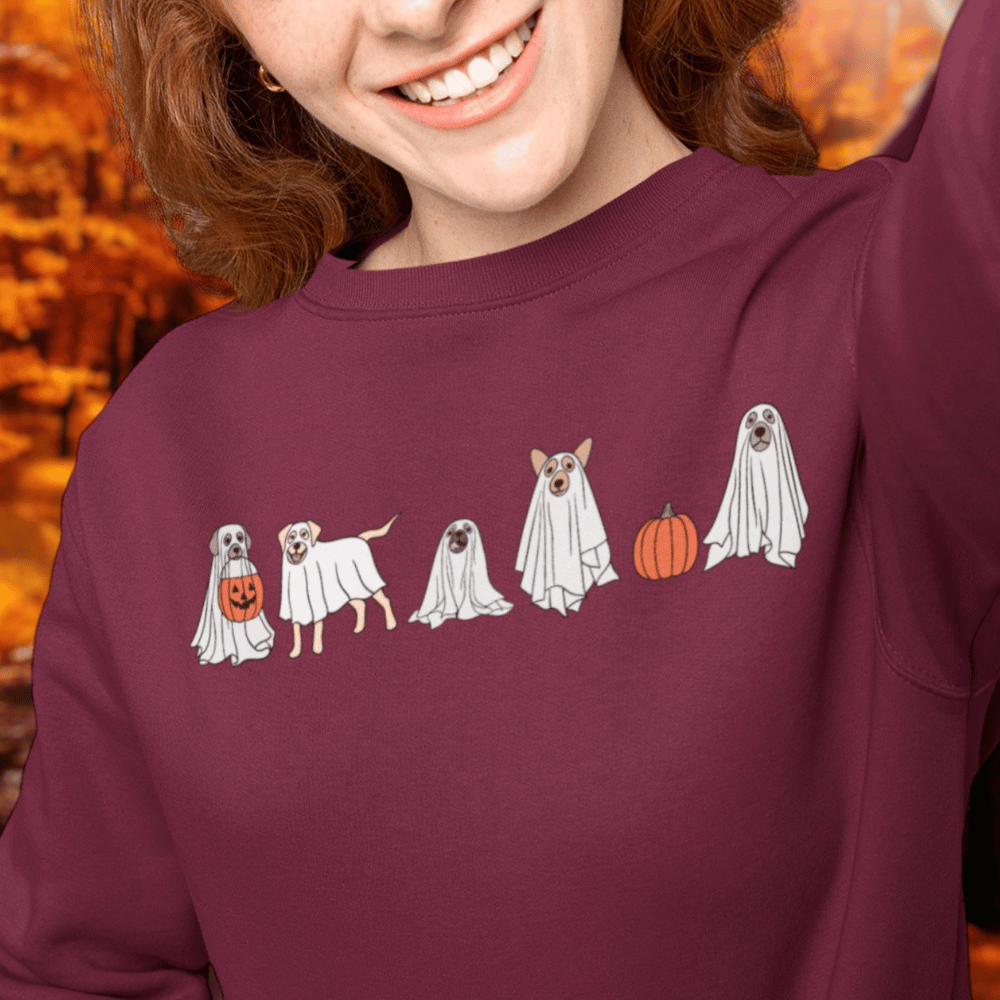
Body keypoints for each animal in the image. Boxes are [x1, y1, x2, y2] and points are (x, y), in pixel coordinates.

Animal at [277, 514, 398, 657]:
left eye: (305, 534)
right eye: (291, 537)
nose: (296, 545)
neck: (300, 568)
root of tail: (361, 538)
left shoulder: (317, 602)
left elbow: (317, 627)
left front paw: (317, 648)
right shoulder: (294, 606)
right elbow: (296, 630)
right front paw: (295, 651)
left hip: (366, 582)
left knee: (385, 600)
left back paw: (391, 624)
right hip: (348, 590)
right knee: (361, 605)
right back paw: (359, 628)